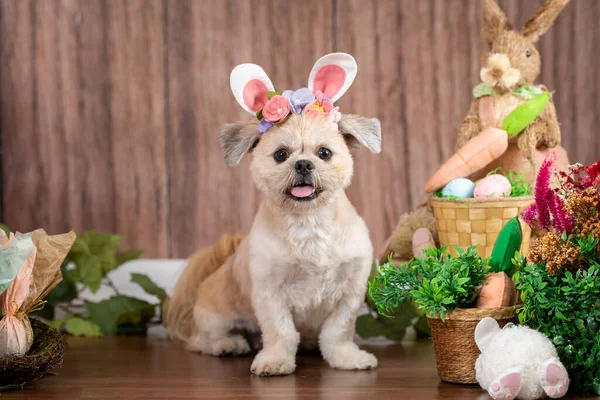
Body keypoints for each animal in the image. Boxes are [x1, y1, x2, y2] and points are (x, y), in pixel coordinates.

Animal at [166, 52, 382, 376]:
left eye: (324, 153)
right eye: (281, 155)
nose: (303, 164)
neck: (309, 222)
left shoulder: (350, 293)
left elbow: (338, 332)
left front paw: (346, 358)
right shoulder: (270, 294)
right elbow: (281, 332)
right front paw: (275, 361)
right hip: (216, 317)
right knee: (201, 340)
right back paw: (229, 345)